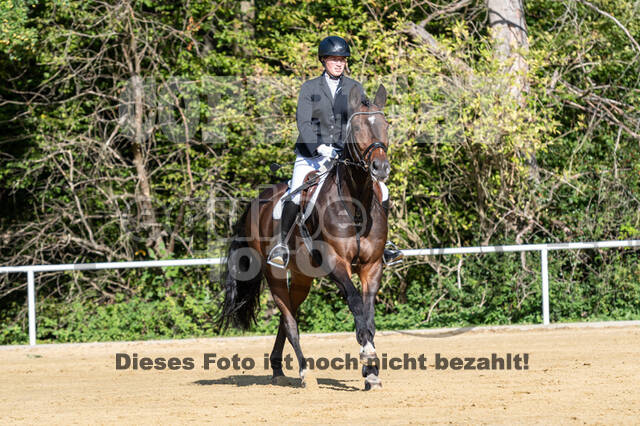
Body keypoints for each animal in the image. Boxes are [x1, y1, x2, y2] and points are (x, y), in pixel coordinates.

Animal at [219, 82, 390, 390]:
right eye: (357, 127)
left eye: (385, 125)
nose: (380, 169)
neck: (355, 203)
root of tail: (258, 200)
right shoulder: (336, 263)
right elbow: (355, 302)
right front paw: (367, 353)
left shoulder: (372, 266)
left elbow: (369, 313)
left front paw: (371, 372)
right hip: (274, 273)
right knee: (289, 320)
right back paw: (304, 372)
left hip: (302, 277)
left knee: (289, 313)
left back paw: (278, 368)